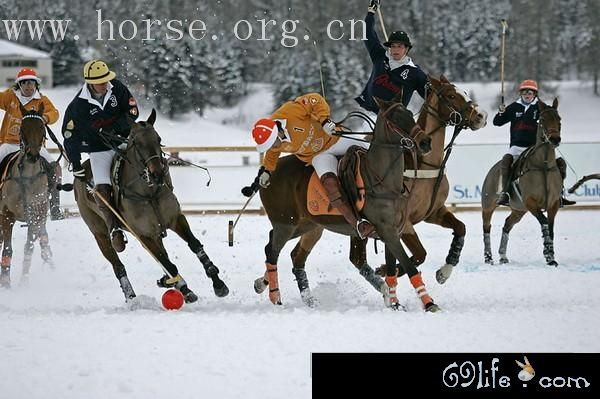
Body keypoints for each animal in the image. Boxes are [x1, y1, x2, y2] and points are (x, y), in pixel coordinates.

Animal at [0, 104, 54, 290]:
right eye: (22, 129)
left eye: (42, 128)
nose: (32, 155)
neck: (27, 178)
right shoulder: (6, 214)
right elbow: (7, 248)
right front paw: (6, 283)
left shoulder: (35, 215)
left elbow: (29, 247)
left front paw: (24, 282)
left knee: (44, 238)